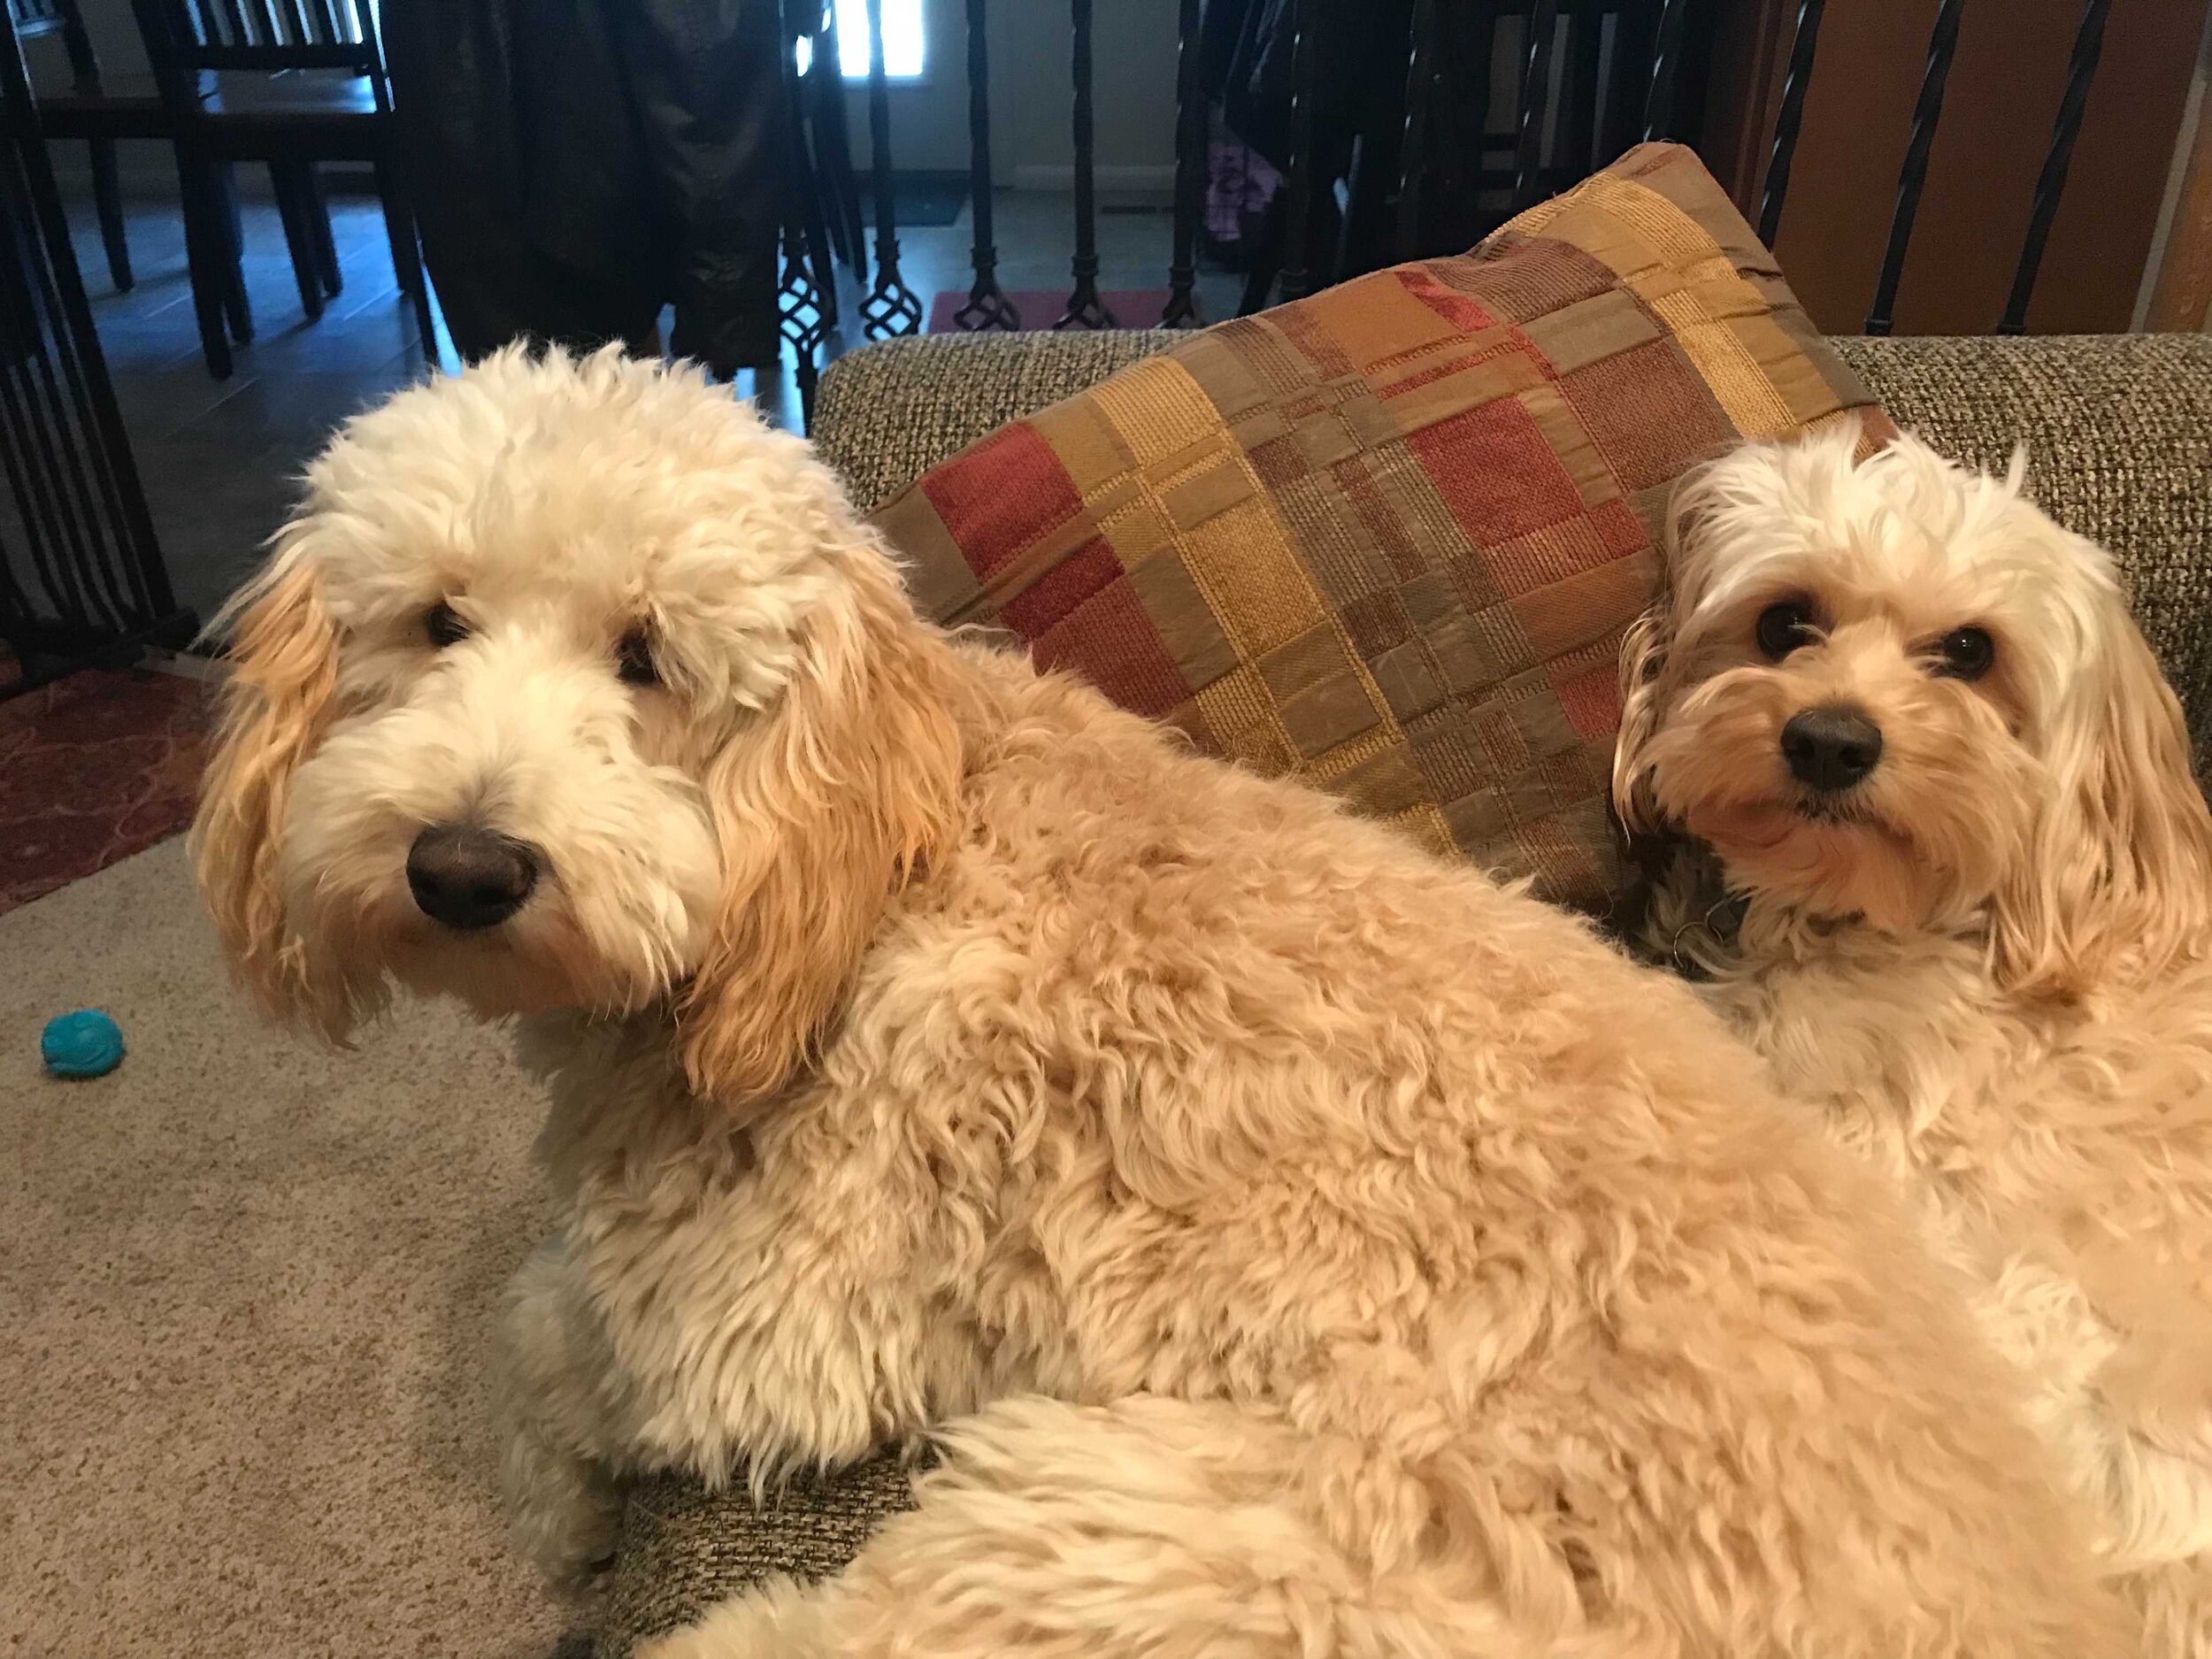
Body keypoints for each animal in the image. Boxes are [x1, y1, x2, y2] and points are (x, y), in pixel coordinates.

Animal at [199, 354, 2132, 1659]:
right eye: (435, 623)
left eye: (646, 659)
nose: (462, 866)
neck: (865, 856)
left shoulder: (751, 1325)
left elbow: (542, 1347)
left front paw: (552, 1509)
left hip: (1174, 1527)